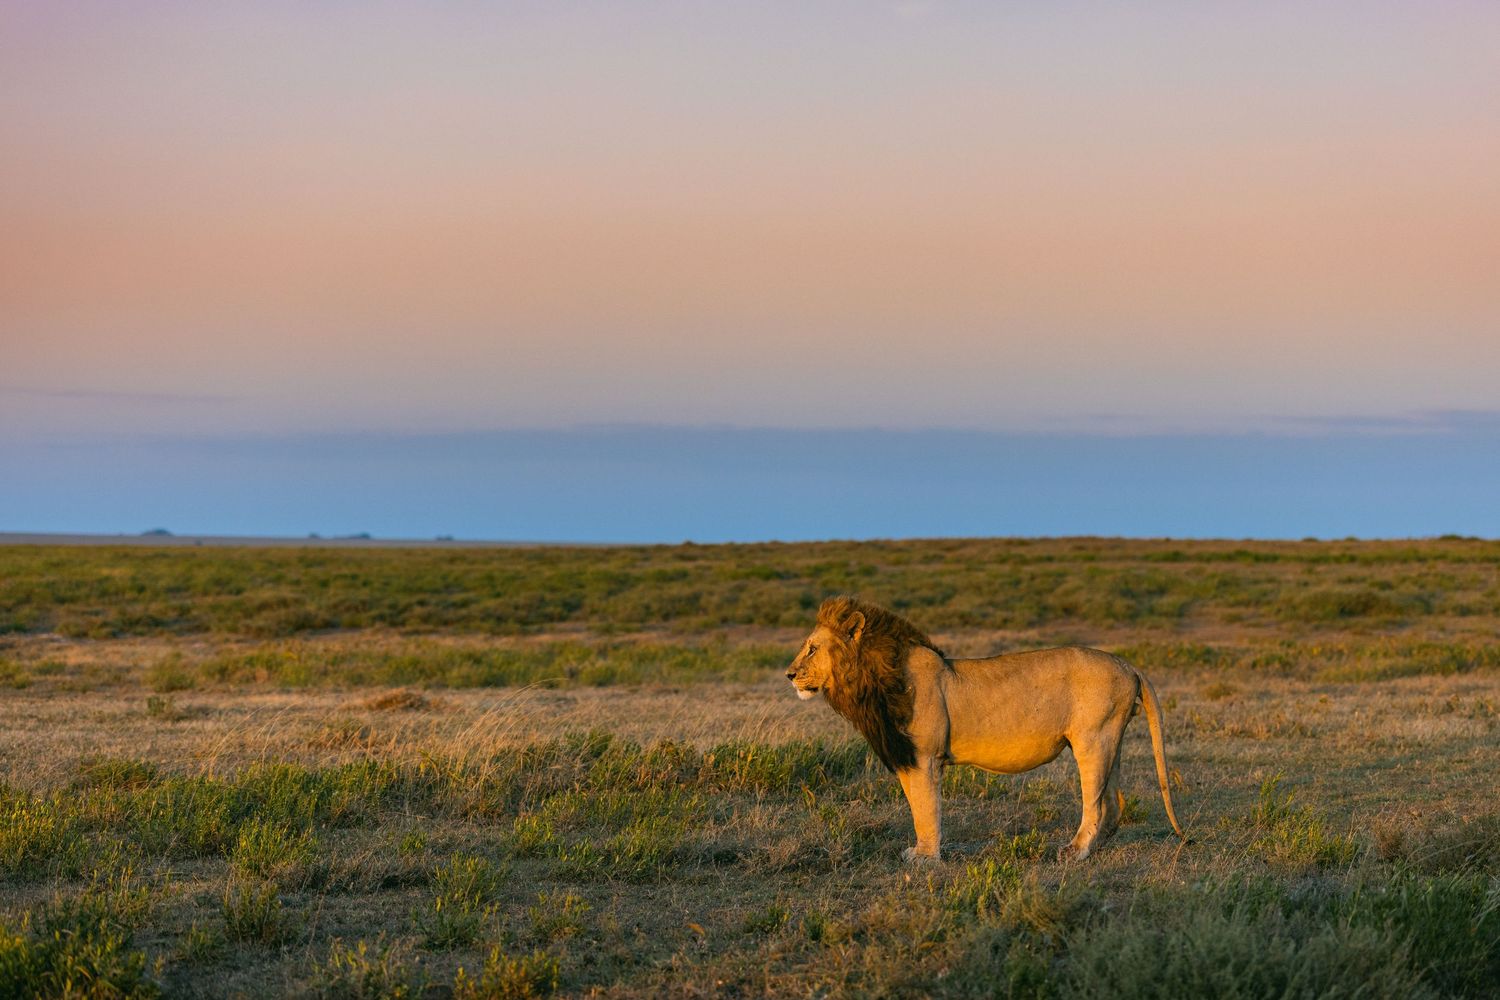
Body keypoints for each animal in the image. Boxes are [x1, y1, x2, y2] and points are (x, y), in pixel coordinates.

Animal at [786, 596, 1185, 861]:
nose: (789, 675)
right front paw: (920, 851)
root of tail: (1128, 664)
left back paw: (1075, 851)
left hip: (1092, 740)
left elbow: (926, 808)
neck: (870, 684)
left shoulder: (925, 757)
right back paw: (1096, 848)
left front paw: (926, 858)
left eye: (812, 649)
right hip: (1110, 740)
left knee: (1096, 803)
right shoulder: (906, 756)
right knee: (1113, 802)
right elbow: (915, 805)